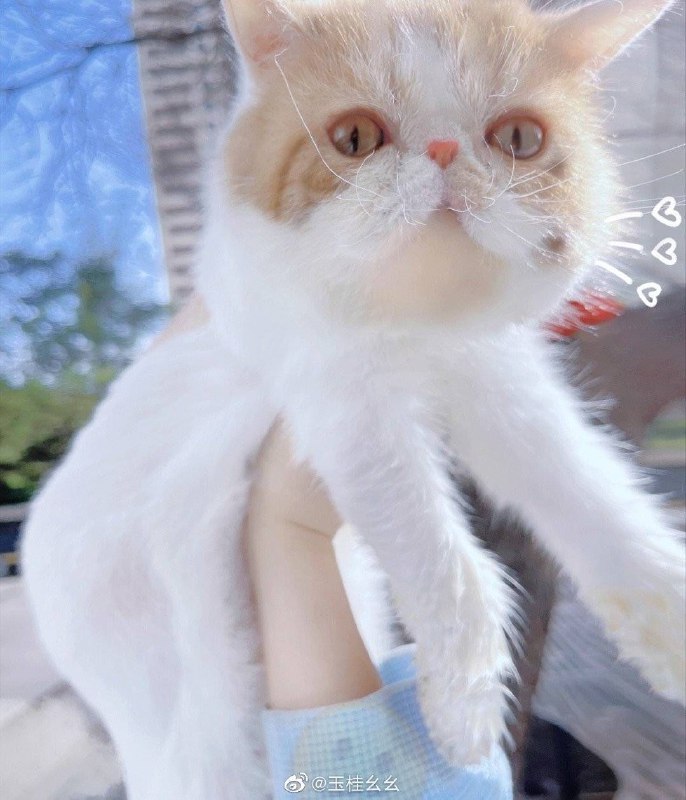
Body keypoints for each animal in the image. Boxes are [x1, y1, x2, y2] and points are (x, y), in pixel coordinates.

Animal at [22, 1, 685, 798]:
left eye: (520, 138)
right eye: (356, 139)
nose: (442, 151)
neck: (418, 330)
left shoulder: (499, 383)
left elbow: (587, 490)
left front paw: (666, 618)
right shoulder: (346, 407)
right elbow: (445, 564)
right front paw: (463, 708)